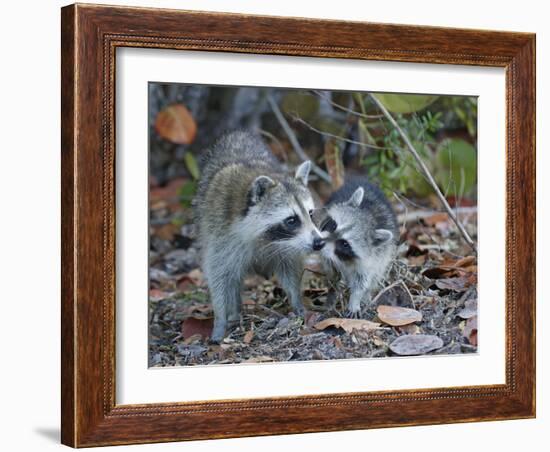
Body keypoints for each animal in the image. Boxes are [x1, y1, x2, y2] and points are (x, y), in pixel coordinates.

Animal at [196, 131, 326, 342]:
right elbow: (219, 275)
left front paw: (297, 302)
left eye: (311, 213)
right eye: (291, 220)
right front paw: (220, 319)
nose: (319, 242)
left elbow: (289, 268)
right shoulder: (220, 234)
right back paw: (234, 313)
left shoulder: (287, 245)